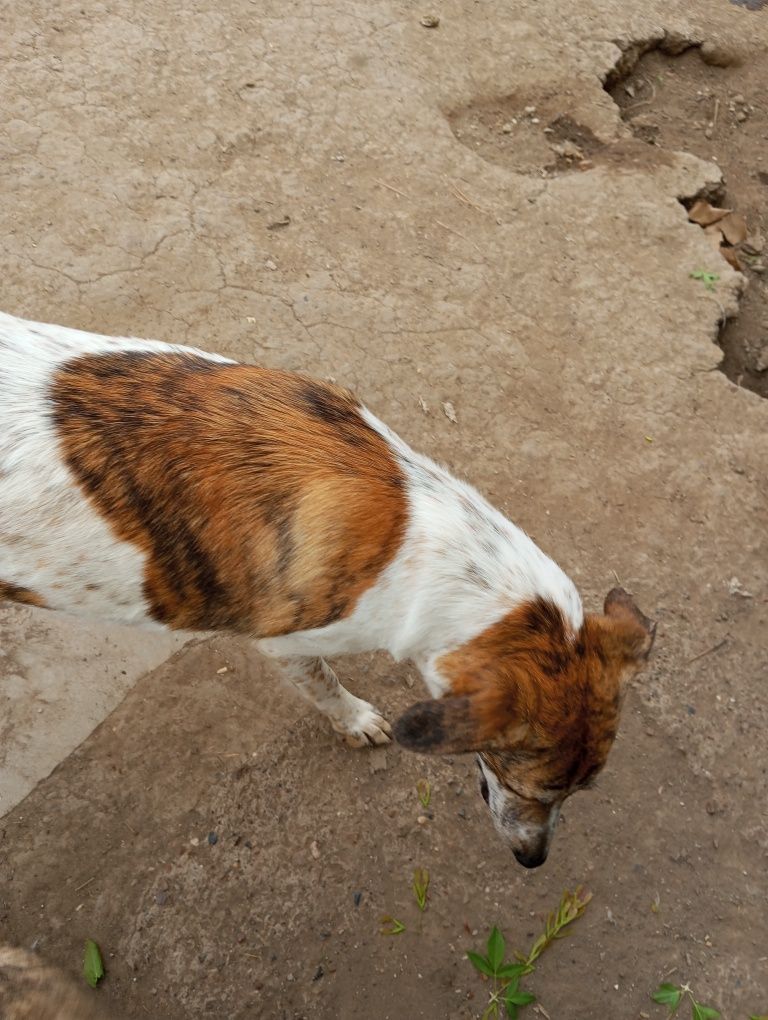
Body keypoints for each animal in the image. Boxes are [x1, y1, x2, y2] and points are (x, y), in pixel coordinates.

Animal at [0, 312, 652, 869]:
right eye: (527, 785)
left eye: (583, 790)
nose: (533, 861)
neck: (420, 529)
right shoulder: (289, 644)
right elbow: (326, 685)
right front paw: (356, 720)